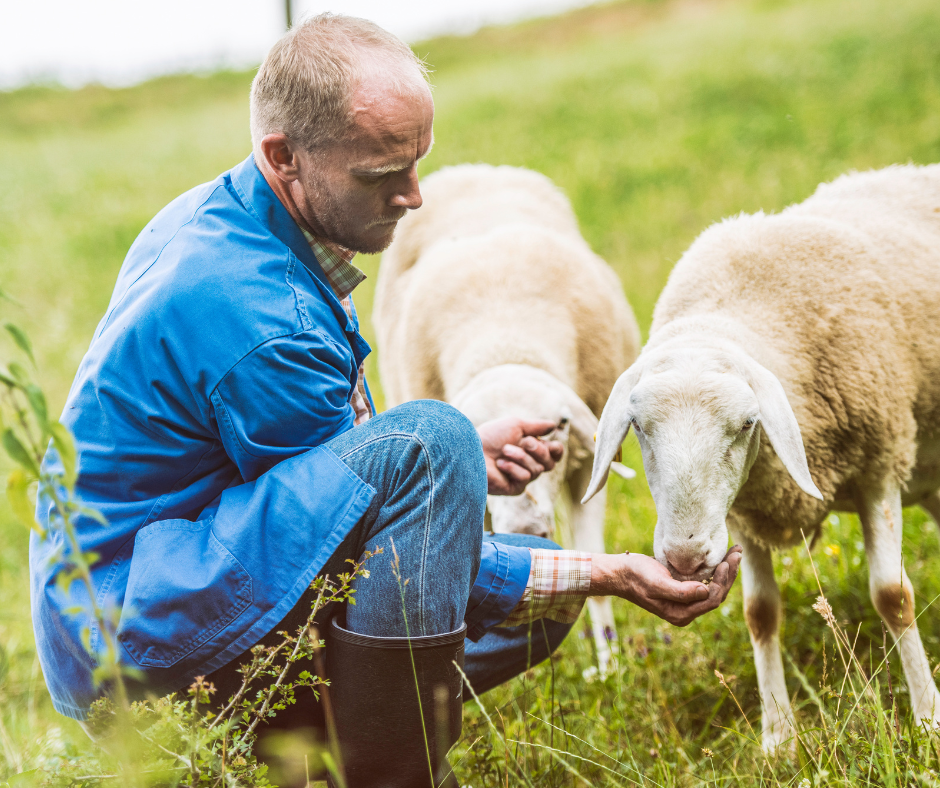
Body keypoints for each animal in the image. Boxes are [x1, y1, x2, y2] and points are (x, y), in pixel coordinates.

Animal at [378, 165, 644, 672]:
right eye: (475, 433)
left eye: (560, 424)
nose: (525, 533)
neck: (506, 339)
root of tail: (474, 170)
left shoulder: (588, 464)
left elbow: (594, 567)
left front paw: (611, 668)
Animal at [584, 163, 940, 748]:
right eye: (637, 427)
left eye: (748, 423)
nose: (684, 560)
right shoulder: (744, 512)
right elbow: (759, 613)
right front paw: (778, 736)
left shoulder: (881, 465)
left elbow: (892, 596)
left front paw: (928, 717)